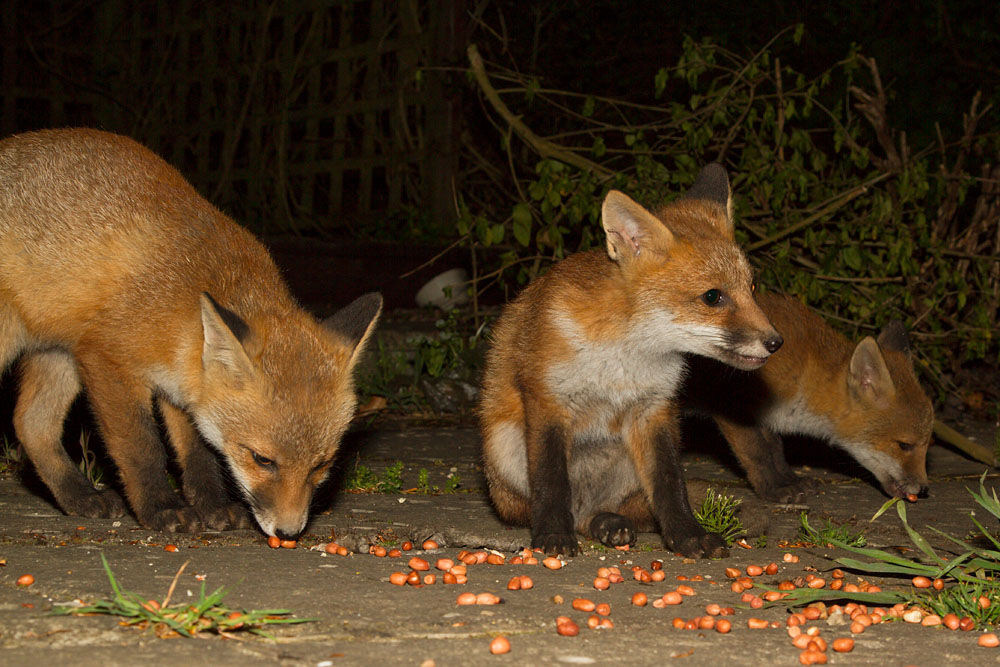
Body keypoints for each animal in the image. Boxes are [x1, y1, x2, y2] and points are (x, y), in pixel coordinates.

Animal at [0, 128, 381, 539]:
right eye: (262, 459)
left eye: (320, 465)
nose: (288, 533)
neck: (182, 312)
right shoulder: (107, 360)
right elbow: (142, 448)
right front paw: (161, 507)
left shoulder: (185, 386)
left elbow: (199, 454)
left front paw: (212, 506)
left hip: (57, 354)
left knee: (30, 424)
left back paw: (78, 497)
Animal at [479, 164, 784, 558]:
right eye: (713, 297)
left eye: (752, 288)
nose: (775, 342)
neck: (624, 358)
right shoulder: (549, 401)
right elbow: (551, 483)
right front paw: (553, 535)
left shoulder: (653, 410)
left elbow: (671, 485)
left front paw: (688, 535)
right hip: (504, 451)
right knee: (552, 507)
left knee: (616, 511)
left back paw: (609, 523)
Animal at [681, 292, 933, 503]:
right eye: (904, 445)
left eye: (926, 445)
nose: (923, 489)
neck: (804, 370)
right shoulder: (732, 406)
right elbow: (758, 453)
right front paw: (773, 488)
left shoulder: (765, 415)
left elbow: (775, 449)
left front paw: (789, 479)